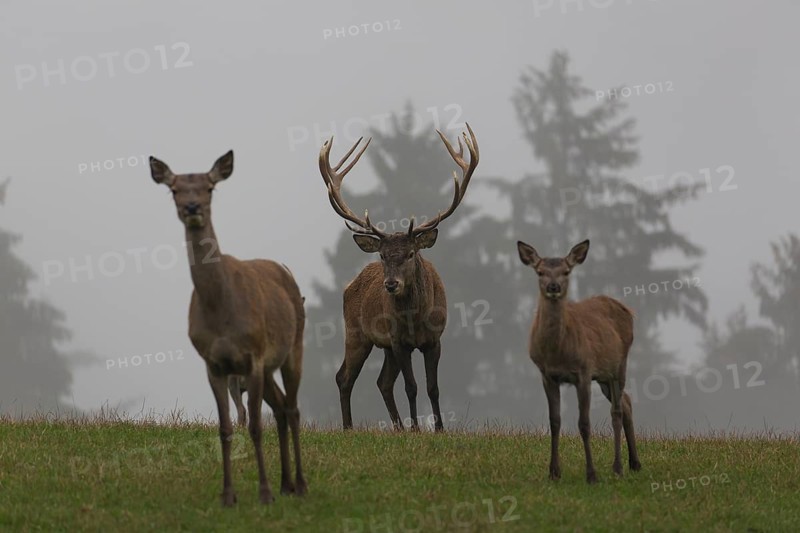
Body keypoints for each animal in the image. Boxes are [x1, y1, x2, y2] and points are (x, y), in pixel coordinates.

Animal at [149, 150, 306, 506]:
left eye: (210, 187)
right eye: (175, 189)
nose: (192, 208)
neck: (221, 314)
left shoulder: (254, 356)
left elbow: (255, 427)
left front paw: (263, 493)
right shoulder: (213, 364)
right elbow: (225, 428)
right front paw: (228, 495)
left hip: (293, 347)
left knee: (292, 409)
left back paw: (300, 484)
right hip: (268, 367)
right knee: (279, 408)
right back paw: (286, 484)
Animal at [318, 124, 479, 432]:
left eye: (410, 253)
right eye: (382, 255)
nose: (391, 284)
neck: (416, 320)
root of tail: (349, 285)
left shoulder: (435, 340)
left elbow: (433, 388)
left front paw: (439, 428)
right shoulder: (398, 341)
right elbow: (411, 387)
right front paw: (416, 429)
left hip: (383, 347)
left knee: (382, 382)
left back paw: (397, 428)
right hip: (356, 332)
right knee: (344, 376)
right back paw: (349, 427)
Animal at [516, 239, 641, 483]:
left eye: (566, 271)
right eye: (540, 271)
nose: (553, 287)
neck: (557, 352)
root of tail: (627, 309)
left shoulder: (583, 372)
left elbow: (584, 424)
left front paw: (591, 475)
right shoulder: (547, 375)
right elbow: (554, 421)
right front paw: (554, 472)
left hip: (619, 365)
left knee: (616, 412)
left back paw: (618, 467)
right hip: (603, 376)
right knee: (627, 402)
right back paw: (635, 463)